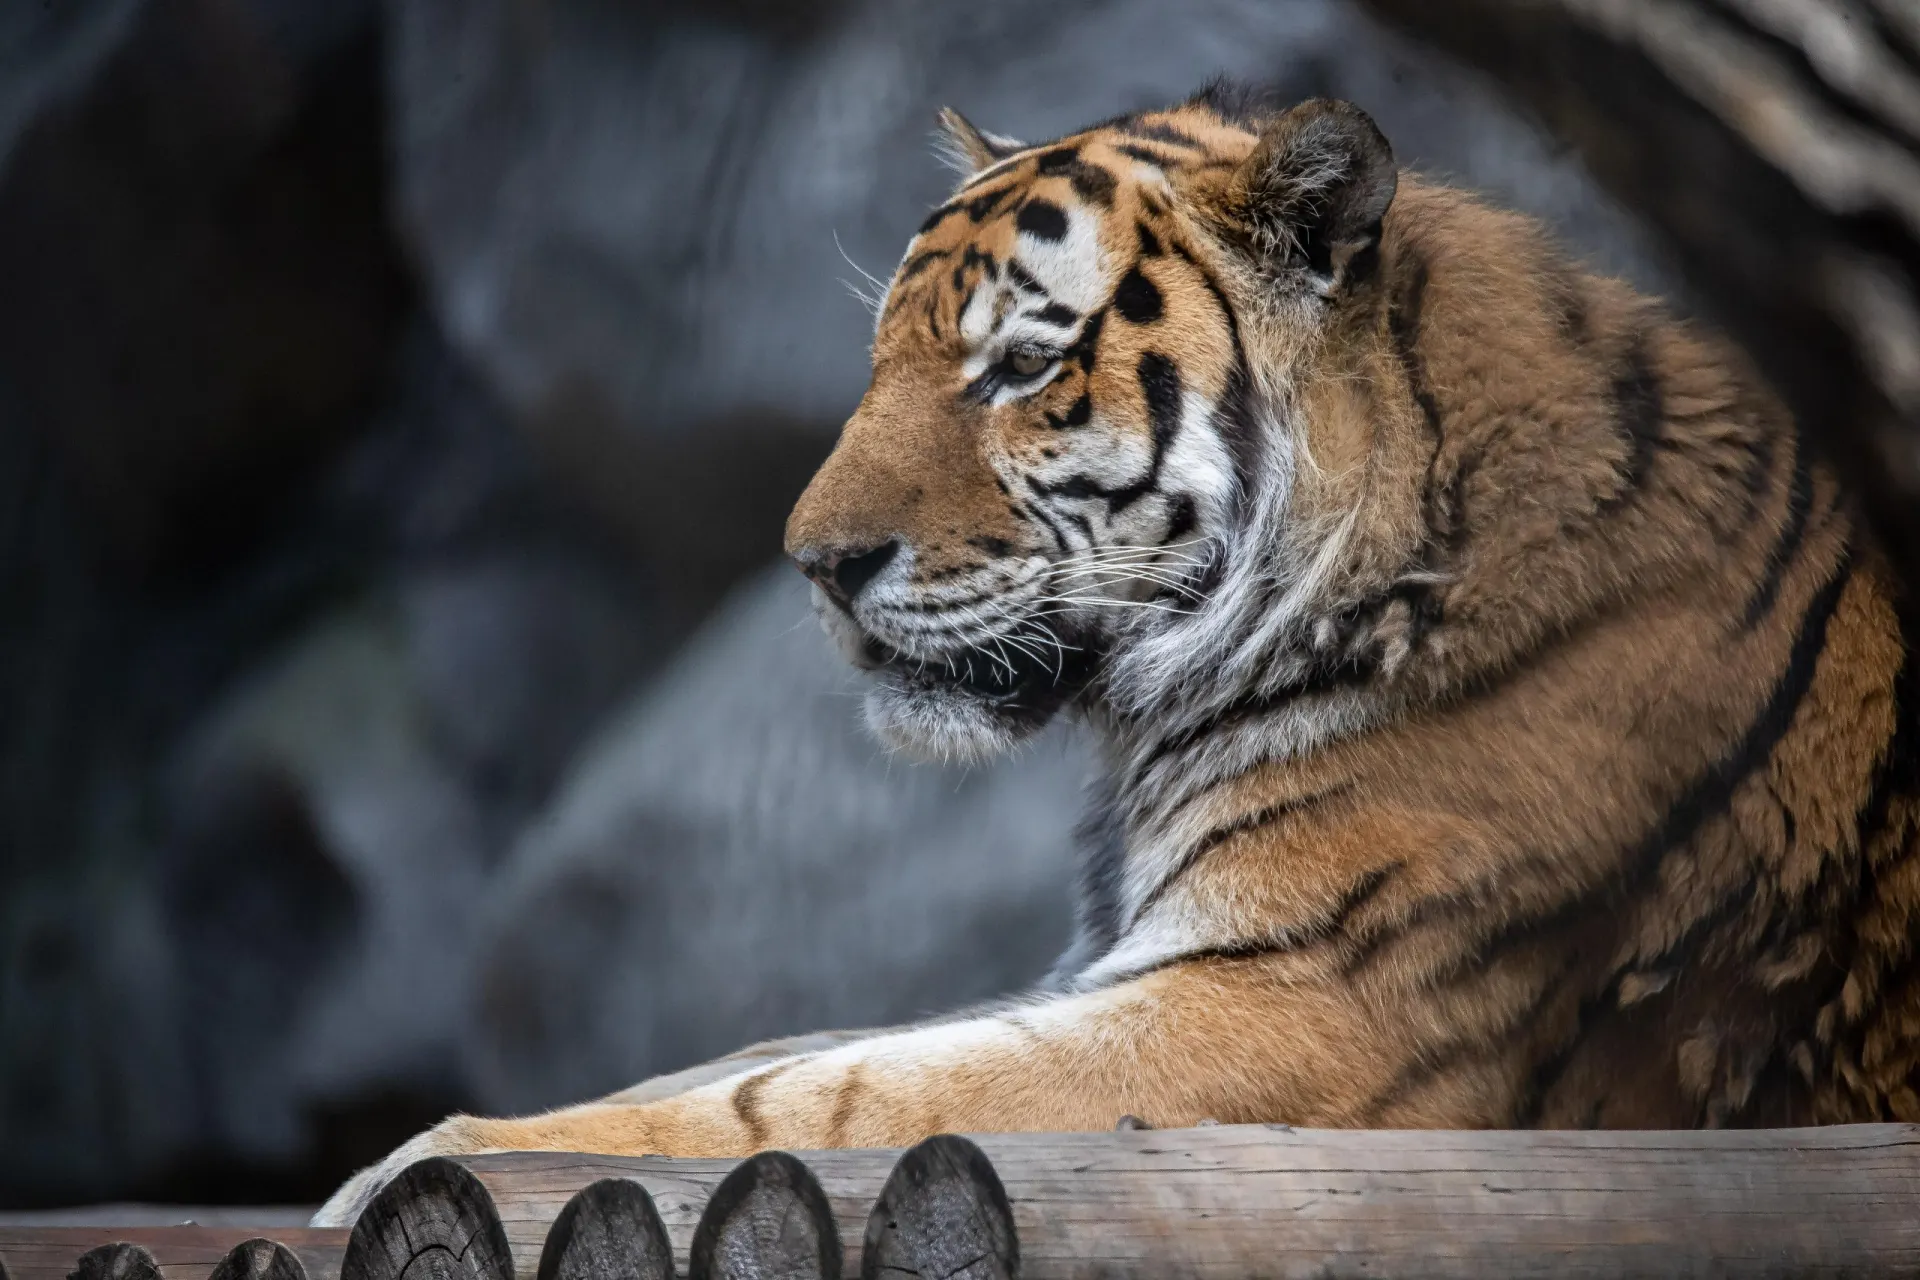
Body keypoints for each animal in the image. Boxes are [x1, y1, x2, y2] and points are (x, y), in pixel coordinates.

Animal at [316, 85, 1920, 1227]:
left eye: (1022, 365)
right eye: (883, 358)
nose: (814, 564)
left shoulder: (1285, 1003)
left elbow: (818, 1097)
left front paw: (419, 1159)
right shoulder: (1134, 963)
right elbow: (773, 1055)